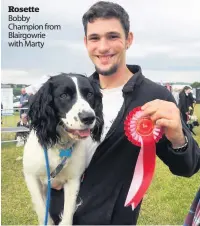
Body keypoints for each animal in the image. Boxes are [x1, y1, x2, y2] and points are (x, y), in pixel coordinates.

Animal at [23, 73, 103, 225]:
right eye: (64, 95)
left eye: (89, 94)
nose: (89, 117)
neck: (59, 145)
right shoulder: (31, 176)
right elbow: (42, 209)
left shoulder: (73, 179)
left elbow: (68, 212)